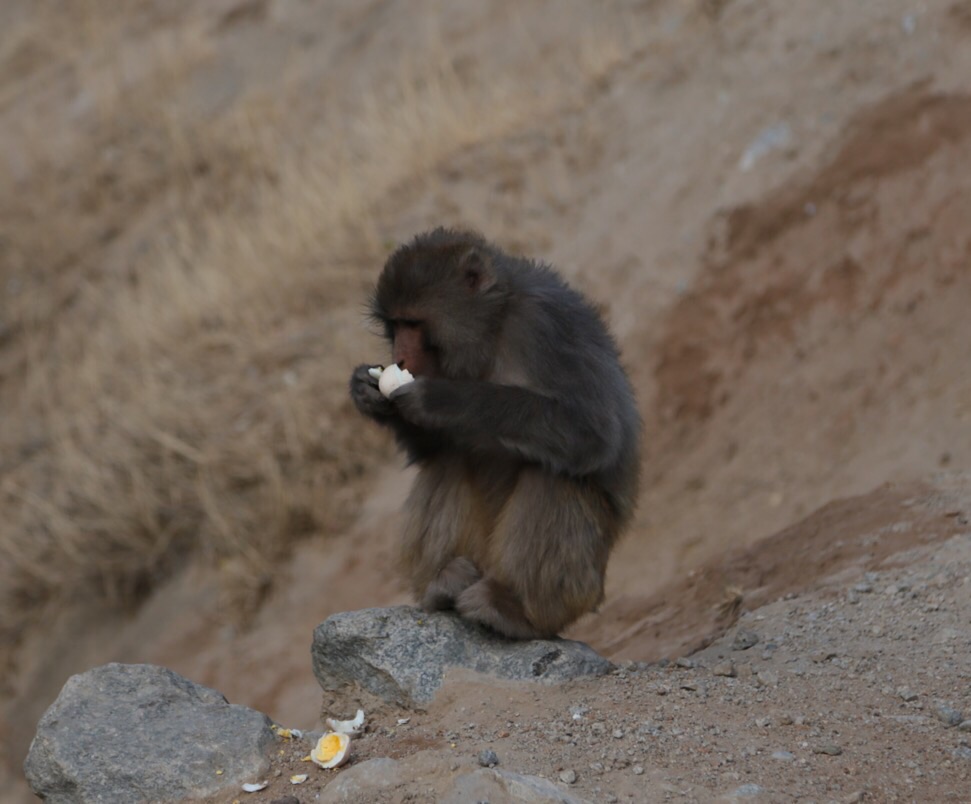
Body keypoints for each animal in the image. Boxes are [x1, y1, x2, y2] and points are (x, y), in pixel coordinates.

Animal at [352, 228, 644, 640]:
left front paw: (443, 399)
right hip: (480, 555)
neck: (493, 328)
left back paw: (513, 609)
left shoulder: (549, 324)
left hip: (580, 590)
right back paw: (442, 584)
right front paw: (366, 391)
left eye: (414, 323)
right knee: (447, 461)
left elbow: (593, 431)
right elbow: (431, 450)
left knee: (556, 474)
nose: (400, 357)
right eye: (394, 325)